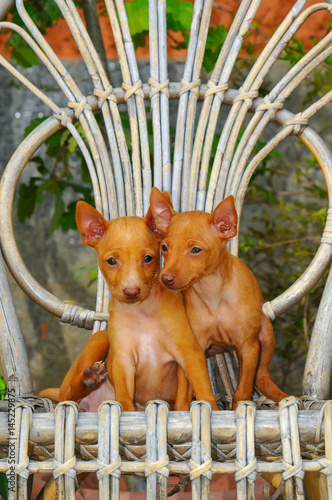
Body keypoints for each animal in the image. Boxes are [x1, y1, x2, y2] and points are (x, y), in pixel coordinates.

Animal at [40, 201, 219, 412]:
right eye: (111, 261)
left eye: (148, 258)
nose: (132, 292)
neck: (141, 312)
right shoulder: (123, 361)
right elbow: (124, 401)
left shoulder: (188, 354)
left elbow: (192, 394)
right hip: (100, 340)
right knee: (68, 395)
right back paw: (90, 379)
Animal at [149, 188, 286, 410]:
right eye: (164, 247)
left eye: (196, 250)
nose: (165, 278)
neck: (212, 293)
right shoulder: (193, 350)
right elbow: (184, 394)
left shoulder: (248, 347)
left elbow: (242, 390)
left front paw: (239, 407)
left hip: (265, 335)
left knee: (262, 377)